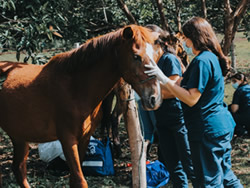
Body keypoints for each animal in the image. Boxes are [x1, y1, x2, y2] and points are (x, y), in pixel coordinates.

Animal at [0, 25, 163, 188]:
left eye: (156, 56)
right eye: (136, 56)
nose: (154, 98)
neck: (75, 88)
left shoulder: (84, 138)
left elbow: (74, 179)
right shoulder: (67, 139)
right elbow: (80, 180)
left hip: (19, 137)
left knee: (19, 168)